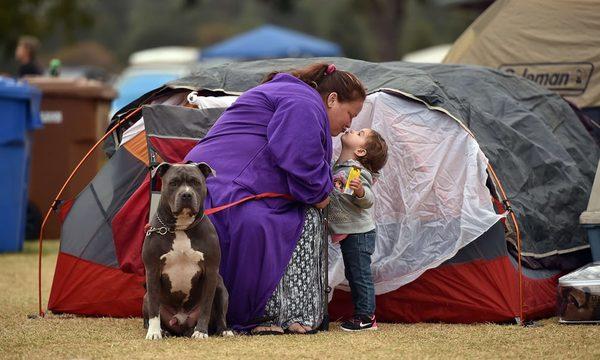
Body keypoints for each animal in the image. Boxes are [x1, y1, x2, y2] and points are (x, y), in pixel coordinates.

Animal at [142, 162, 232, 338]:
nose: (186, 194)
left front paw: (201, 332)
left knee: (220, 315)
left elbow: (206, 306)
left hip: (220, 287)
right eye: (173, 183)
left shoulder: (211, 271)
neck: (181, 227)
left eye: (196, 182)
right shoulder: (152, 270)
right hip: (145, 296)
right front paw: (154, 333)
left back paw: (223, 330)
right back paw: (163, 331)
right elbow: (154, 307)